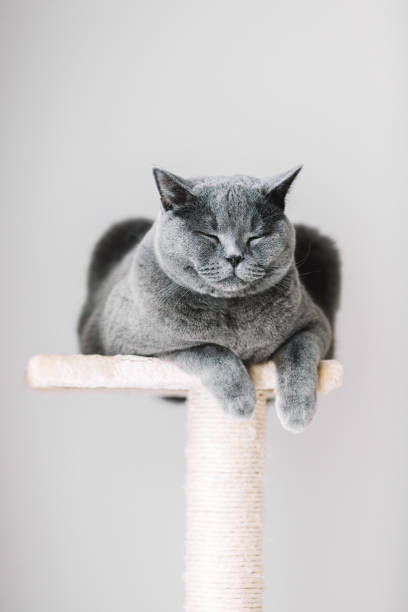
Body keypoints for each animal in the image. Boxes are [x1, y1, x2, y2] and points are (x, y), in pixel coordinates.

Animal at [78, 167, 340, 432]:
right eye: (209, 235)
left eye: (256, 237)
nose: (234, 257)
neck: (230, 309)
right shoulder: (129, 347)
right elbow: (211, 350)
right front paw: (242, 401)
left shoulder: (315, 324)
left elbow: (299, 354)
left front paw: (298, 413)